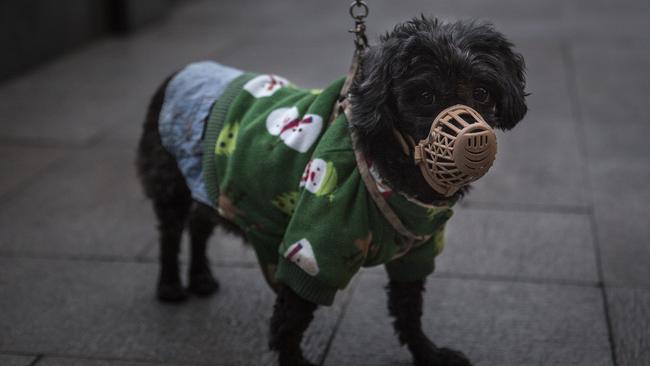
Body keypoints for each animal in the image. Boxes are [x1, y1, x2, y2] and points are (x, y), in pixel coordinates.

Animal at [137, 15, 528, 364]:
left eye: (482, 92)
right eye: (425, 95)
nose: (473, 137)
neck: (393, 165)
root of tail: (180, 72)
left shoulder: (417, 251)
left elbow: (408, 309)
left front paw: (428, 354)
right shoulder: (313, 249)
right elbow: (291, 319)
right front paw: (294, 361)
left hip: (205, 185)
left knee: (199, 225)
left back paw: (201, 278)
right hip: (171, 183)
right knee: (172, 232)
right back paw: (170, 286)